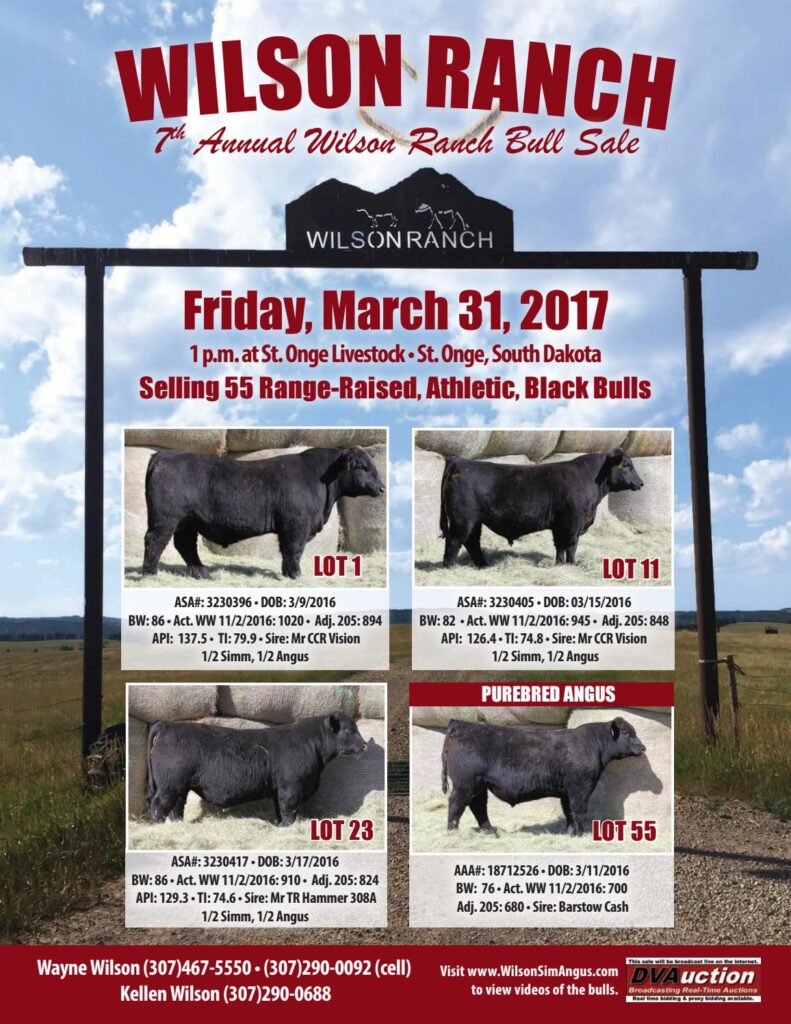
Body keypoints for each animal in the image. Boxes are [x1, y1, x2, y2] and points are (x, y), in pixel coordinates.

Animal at [142, 446, 385, 579]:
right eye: (363, 467)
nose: (382, 488)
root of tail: (164, 455)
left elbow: (288, 552)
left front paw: (287, 573)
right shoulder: (297, 524)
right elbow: (294, 550)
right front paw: (295, 574)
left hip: (186, 522)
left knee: (185, 546)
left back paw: (202, 573)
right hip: (166, 518)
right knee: (154, 540)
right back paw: (149, 573)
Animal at [146, 712, 368, 826]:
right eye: (347, 729)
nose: (364, 745)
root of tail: (167, 725)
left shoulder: (278, 789)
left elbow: (279, 810)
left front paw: (279, 825)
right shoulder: (291, 787)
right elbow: (288, 810)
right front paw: (287, 826)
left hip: (178, 786)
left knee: (176, 807)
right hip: (168, 785)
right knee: (159, 806)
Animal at [439, 448, 643, 568]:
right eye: (627, 465)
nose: (641, 483)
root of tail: (459, 461)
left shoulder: (559, 525)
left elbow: (560, 545)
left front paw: (560, 564)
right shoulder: (573, 522)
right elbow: (571, 545)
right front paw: (573, 564)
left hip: (474, 521)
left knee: (472, 541)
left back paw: (483, 565)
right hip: (462, 518)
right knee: (454, 541)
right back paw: (450, 567)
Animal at [441, 717, 646, 836]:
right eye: (626, 732)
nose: (643, 747)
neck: (593, 745)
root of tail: (459, 724)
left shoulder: (566, 791)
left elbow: (569, 811)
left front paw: (571, 832)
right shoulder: (580, 788)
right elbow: (578, 810)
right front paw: (581, 833)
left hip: (479, 786)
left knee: (478, 806)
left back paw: (490, 831)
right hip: (465, 784)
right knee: (457, 803)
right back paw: (453, 832)